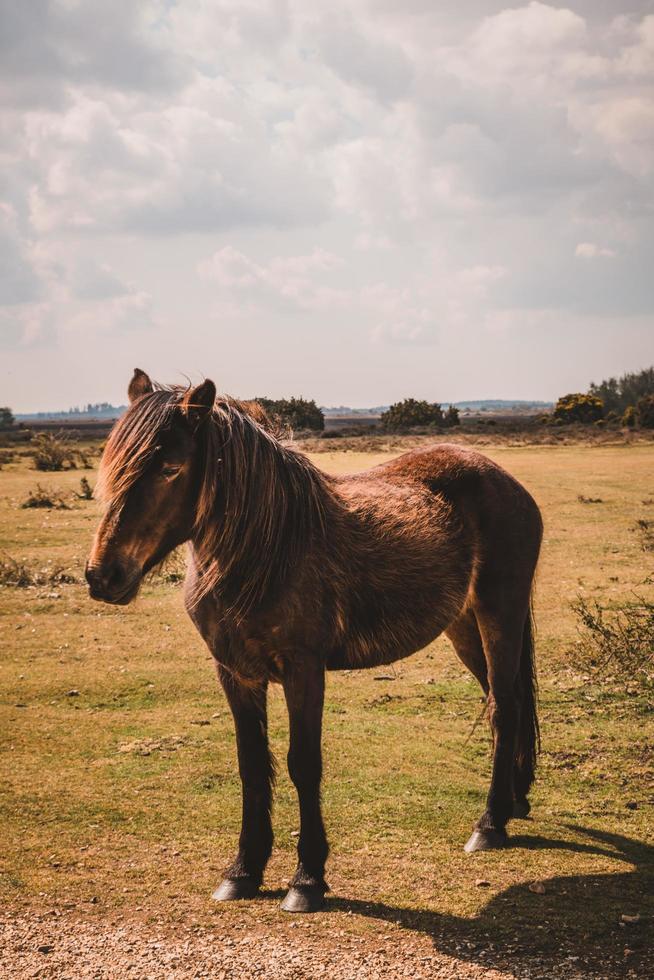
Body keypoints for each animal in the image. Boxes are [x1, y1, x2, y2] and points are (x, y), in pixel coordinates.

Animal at [87, 368, 544, 912]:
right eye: (111, 465)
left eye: (170, 468)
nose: (102, 576)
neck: (267, 549)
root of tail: (507, 482)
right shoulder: (235, 673)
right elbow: (251, 765)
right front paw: (242, 871)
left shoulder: (303, 670)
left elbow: (302, 763)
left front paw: (307, 878)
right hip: (463, 627)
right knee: (503, 700)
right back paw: (515, 800)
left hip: (500, 615)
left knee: (504, 707)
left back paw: (490, 824)